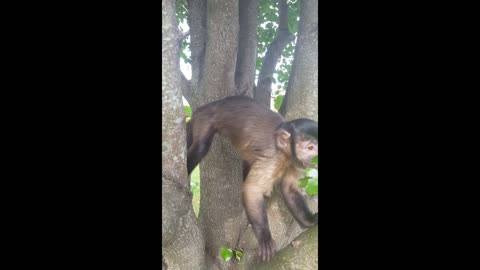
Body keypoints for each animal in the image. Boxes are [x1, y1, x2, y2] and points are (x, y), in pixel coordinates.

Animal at [188, 95, 318, 262]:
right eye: (310, 148)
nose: (316, 158)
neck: (285, 153)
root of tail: (209, 105)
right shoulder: (273, 157)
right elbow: (253, 189)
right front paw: (264, 238)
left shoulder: (295, 163)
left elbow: (289, 189)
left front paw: (311, 221)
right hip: (203, 118)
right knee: (200, 146)